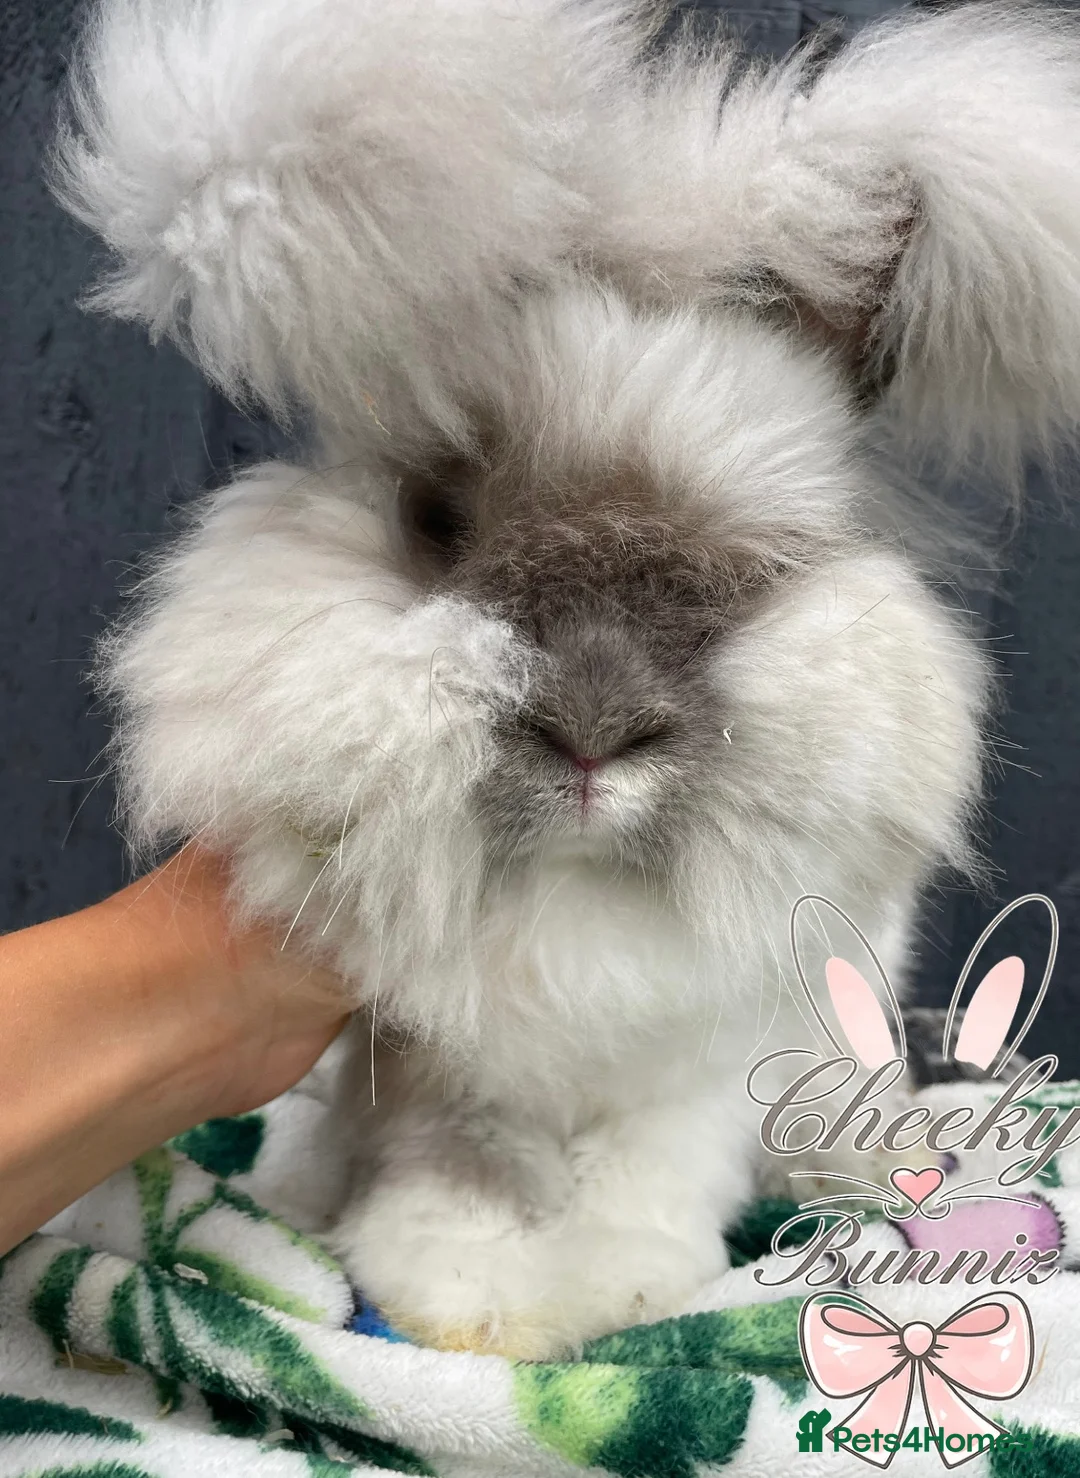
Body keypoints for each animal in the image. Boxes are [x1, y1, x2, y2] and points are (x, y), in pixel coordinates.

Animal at [49, 0, 1080, 1355]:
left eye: (754, 563)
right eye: (437, 518)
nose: (593, 733)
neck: (573, 901)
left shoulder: (706, 1059)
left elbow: (646, 1173)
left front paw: (608, 1287)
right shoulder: (426, 1064)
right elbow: (464, 1163)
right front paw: (460, 1296)